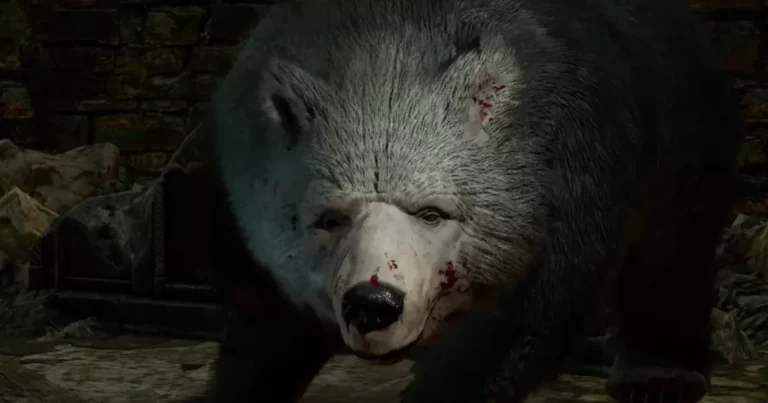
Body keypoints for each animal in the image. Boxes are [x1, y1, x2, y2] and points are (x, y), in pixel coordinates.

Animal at [197, 0, 742, 402]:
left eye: (431, 213)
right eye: (330, 219)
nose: (373, 304)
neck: (386, 50)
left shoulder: (572, 170)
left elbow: (517, 327)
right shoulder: (239, 171)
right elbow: (264, 322)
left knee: (674, 248)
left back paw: (658, 373)